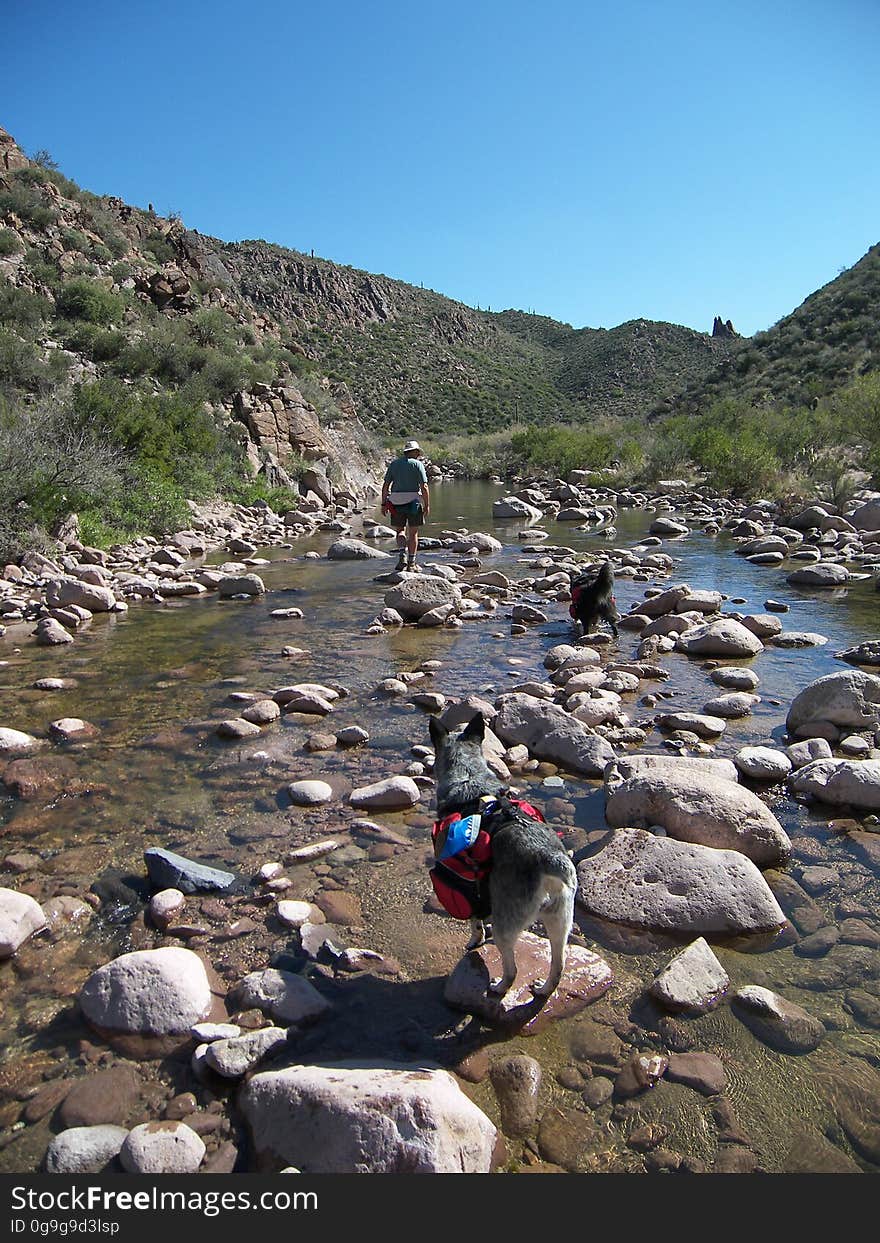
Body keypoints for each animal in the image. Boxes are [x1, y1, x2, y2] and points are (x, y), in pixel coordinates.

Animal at [427, 710, 576, 999]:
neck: (468, 775)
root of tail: (549, 859)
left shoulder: (469, 888)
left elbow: (475, 924)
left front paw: (474, 941)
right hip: (559, 920)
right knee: (559, 965)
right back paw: (543, 989)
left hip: (506, 925)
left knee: (512, 969)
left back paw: (498, 987)